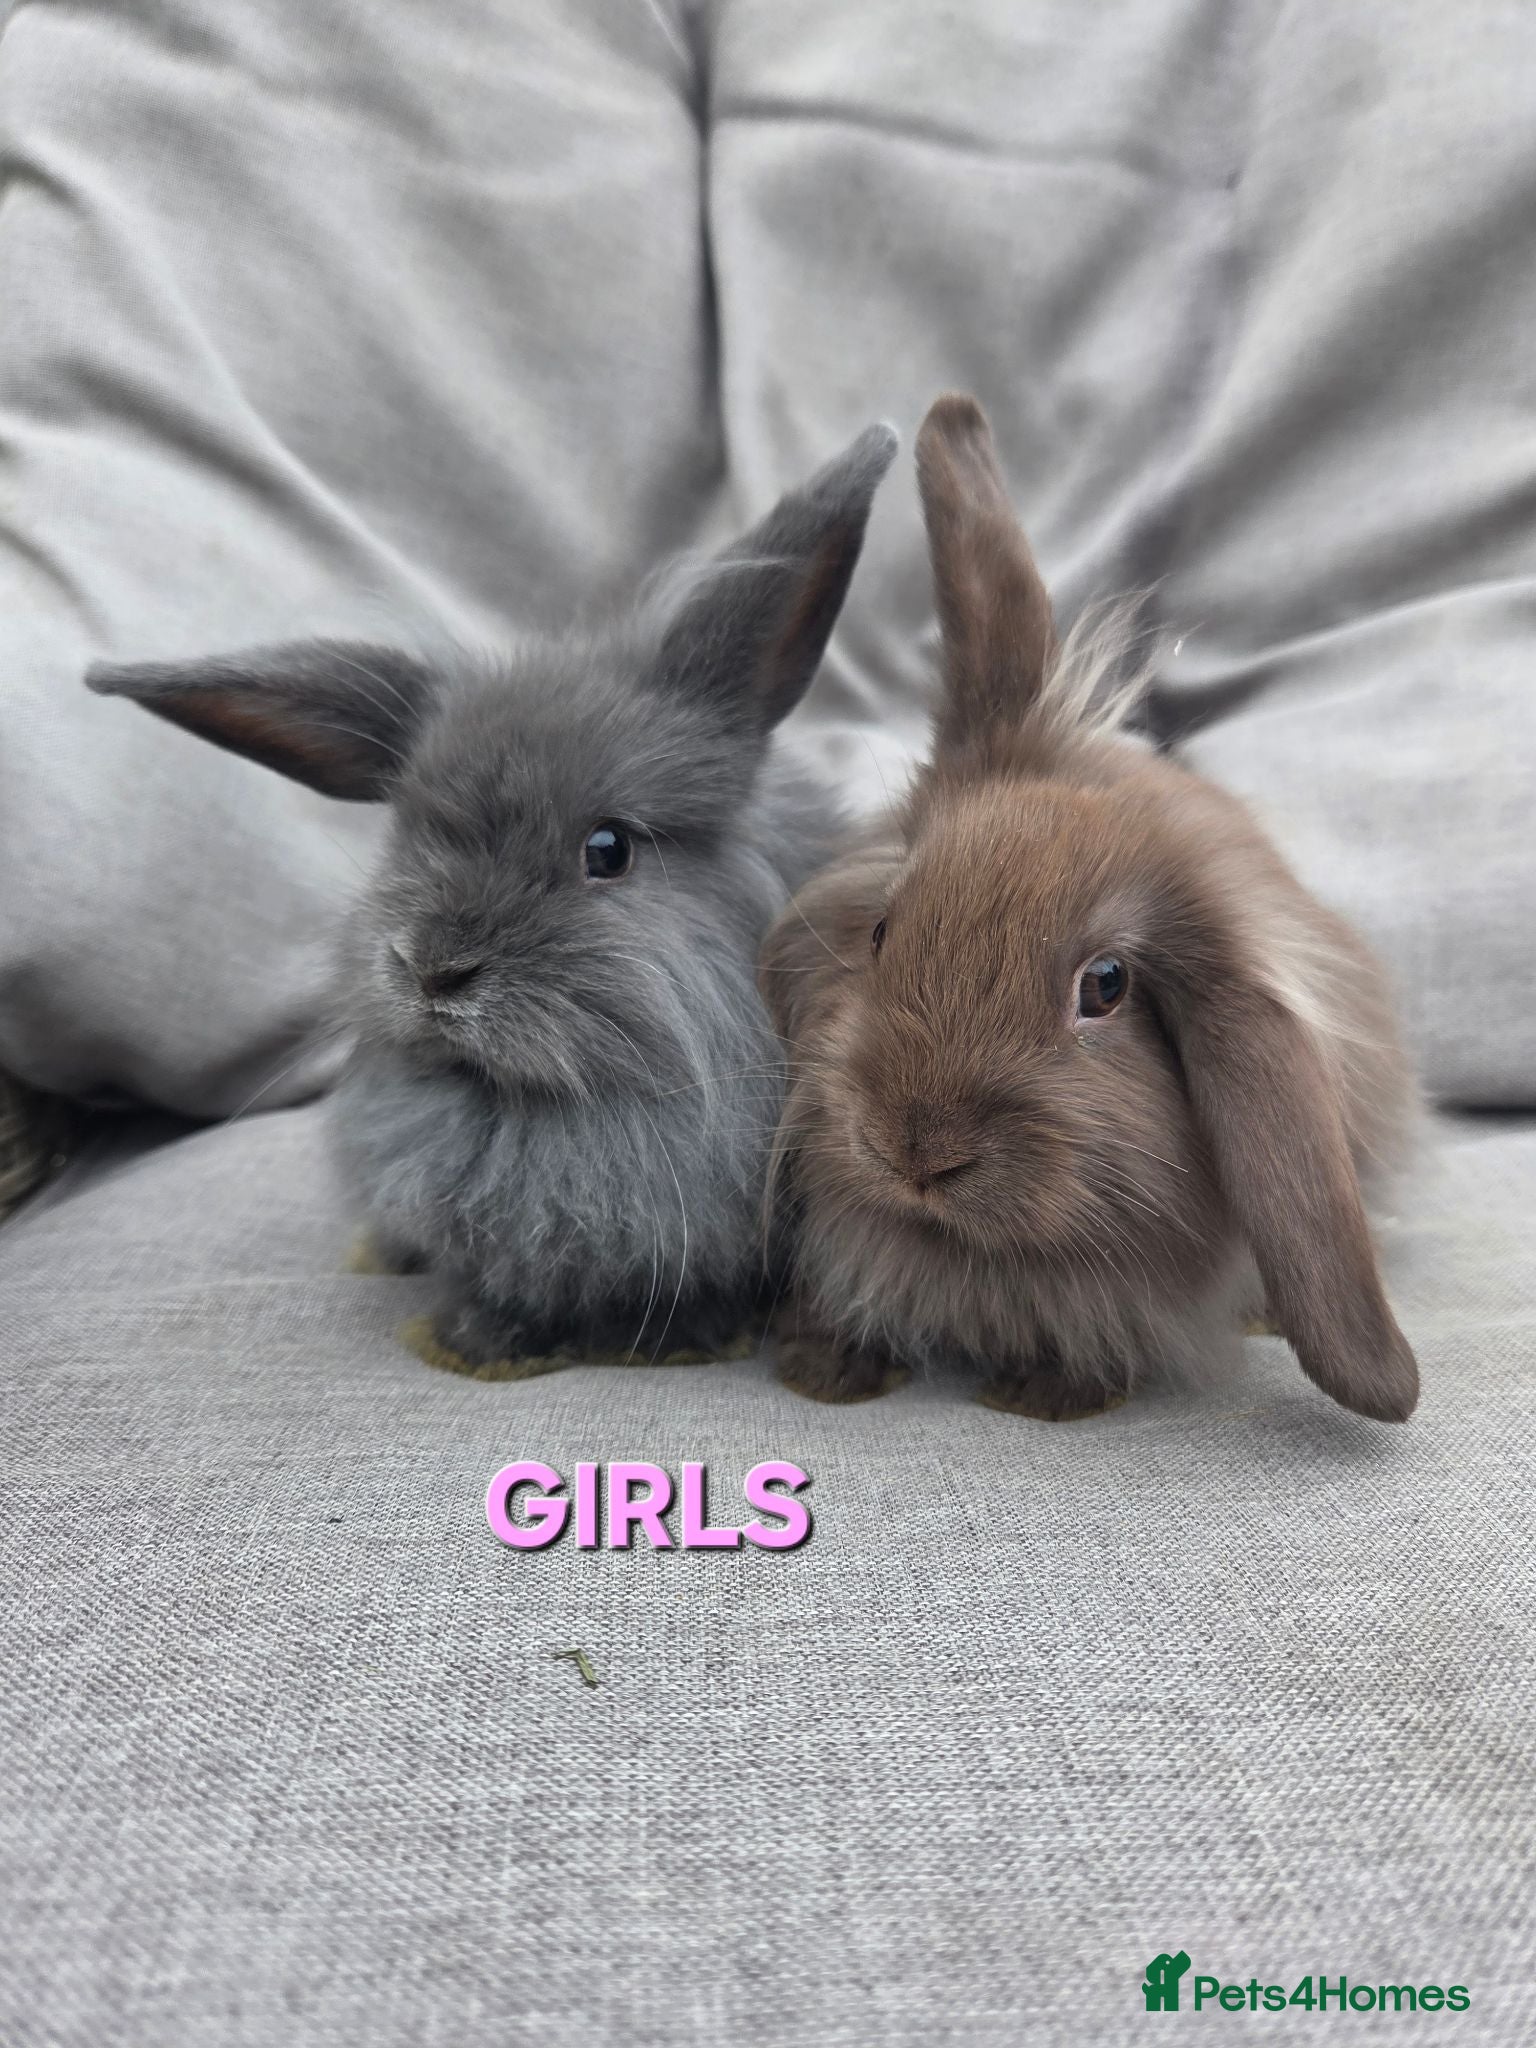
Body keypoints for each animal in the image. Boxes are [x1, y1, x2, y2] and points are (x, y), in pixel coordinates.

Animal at [87, 422, 898, 1368]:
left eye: (608, 849)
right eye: (408, 832)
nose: (433, 970)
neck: (516, 1116)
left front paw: (681, 1340)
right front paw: (476, 1339)